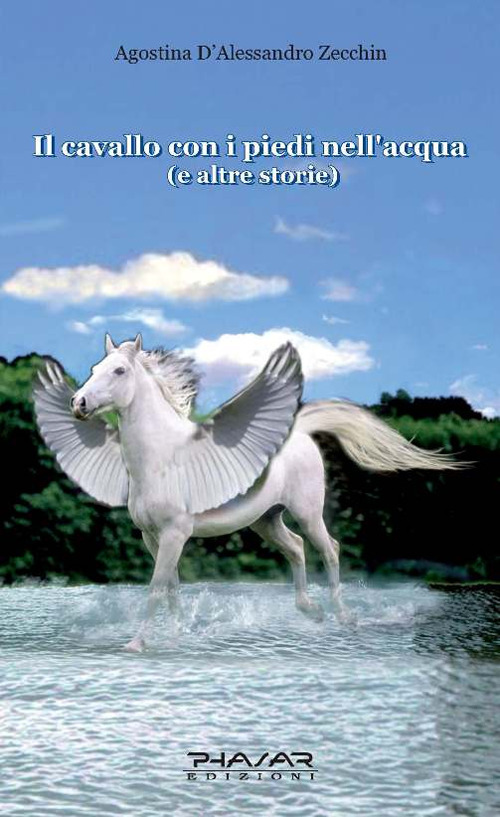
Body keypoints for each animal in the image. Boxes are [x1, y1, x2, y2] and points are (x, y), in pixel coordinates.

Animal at [34, 333, 461, 650]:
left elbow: (156, 588)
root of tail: (300, 432)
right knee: (297, 549)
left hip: (307, 512)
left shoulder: (174, 534)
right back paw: (311, 611)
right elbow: (171, 588)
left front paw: (137, 644)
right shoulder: (151, 536)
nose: (78, 403)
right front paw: (175, 638)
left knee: (330, 549)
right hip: (266, 521)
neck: (160, 458)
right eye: (95, 369)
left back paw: (343, 618)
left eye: (119, 370)